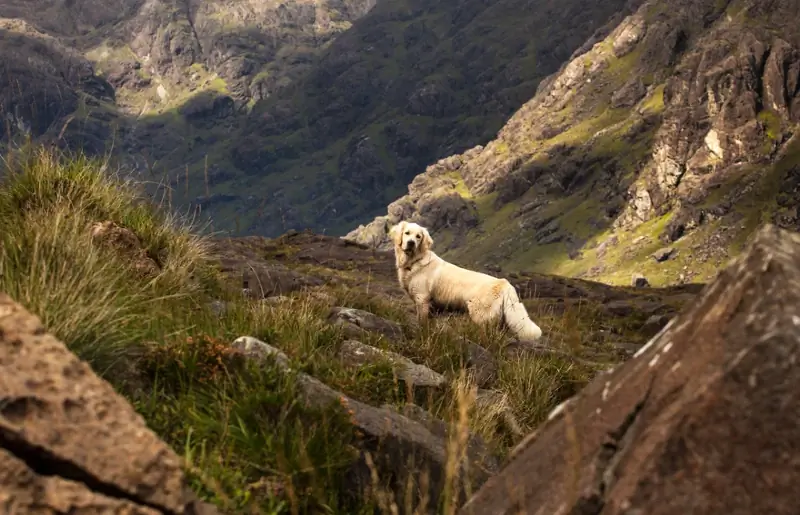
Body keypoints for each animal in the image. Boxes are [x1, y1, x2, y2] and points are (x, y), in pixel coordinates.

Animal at [390, 220, 544, 340]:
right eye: (407, 233)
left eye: (418, 236)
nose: (411, 243)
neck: (414, 261)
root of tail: (504, 283)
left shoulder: (422, 300)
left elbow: (421, 323)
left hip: (480, 317)